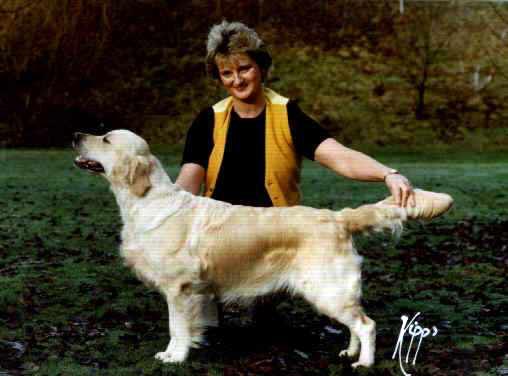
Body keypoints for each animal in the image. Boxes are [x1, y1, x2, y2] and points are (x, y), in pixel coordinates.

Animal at [71, 129, 452, 368]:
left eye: (105, 138)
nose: (75, 135)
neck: (145, 200)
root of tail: (337, 217)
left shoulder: (179, 289)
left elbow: (176, 327)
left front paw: (174, 356)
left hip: (326, 288)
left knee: (367, 324)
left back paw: (365, 362)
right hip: (332, 291)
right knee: (356, 323)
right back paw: (349, 353)